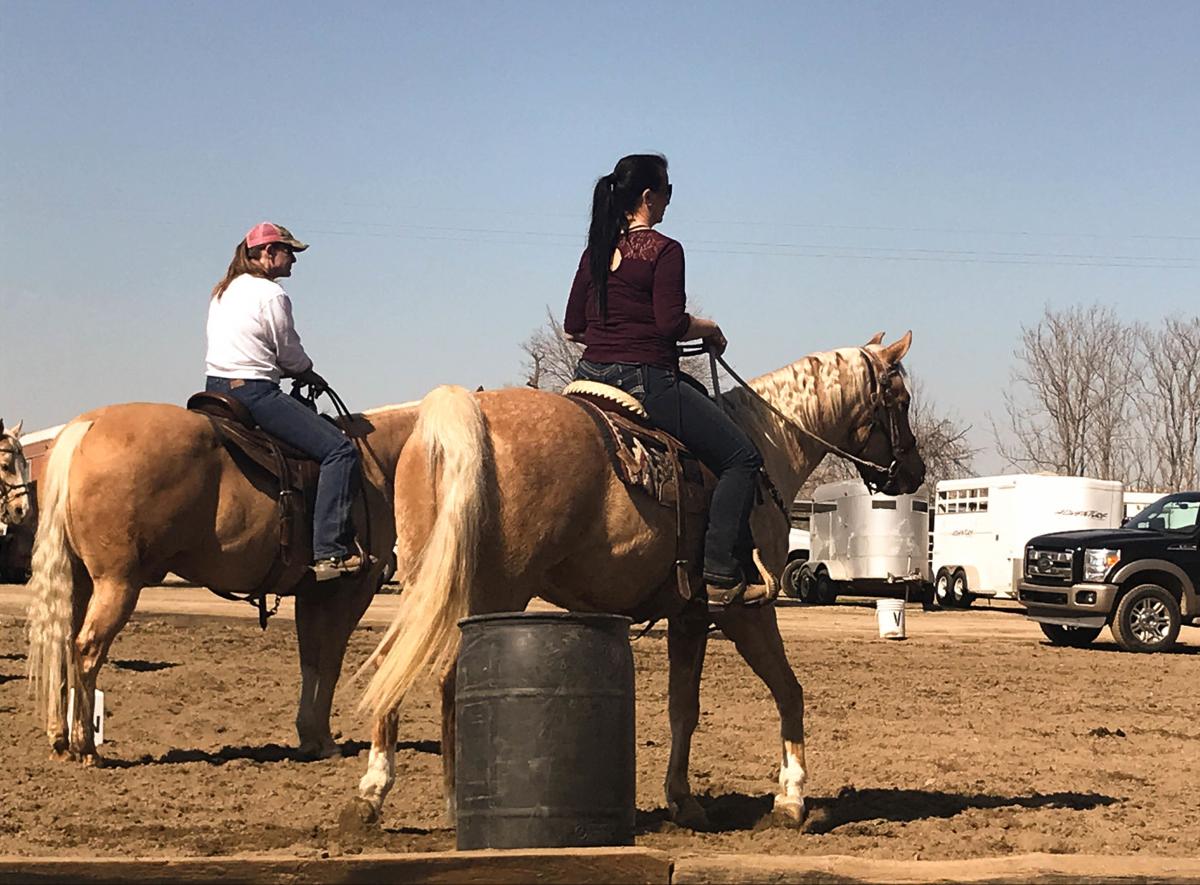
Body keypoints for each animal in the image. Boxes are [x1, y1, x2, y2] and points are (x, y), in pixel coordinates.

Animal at [25, 399, 419, 764]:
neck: (376, 462)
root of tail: (86, 427)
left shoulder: (311, 594)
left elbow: (310, 662)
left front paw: (308, 736)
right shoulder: (351, 592)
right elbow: (331, 664)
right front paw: (324, 741)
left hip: (79, 580)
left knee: (61, 644)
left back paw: (60, 740)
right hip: (117, 583)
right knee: (87, 649)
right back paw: (86, 747)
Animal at [347, 332, 926, 830]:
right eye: (899, 398)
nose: (914, 472)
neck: (766, 449)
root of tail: (466, 419)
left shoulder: (689, 614)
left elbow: (684, 707)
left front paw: (687, 798)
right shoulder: (740, 610)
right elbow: (779, 692)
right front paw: (788, 798)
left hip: (430, 583)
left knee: (399, 667)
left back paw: (389, 795)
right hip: (492, 591)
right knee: (445, 676)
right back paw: (427, 797)